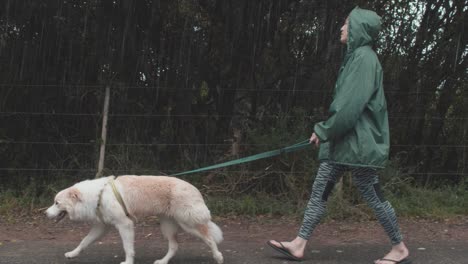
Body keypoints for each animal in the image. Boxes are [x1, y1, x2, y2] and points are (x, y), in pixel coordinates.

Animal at [44, 175, 224, 264]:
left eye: (56, 203)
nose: (45, 213)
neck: (98, 195)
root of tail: (195, 189)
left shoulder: (125, 225)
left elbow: (128, 248)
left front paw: (128, 262)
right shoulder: (101, 227)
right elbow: (84, 242)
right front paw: (72, 254)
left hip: (188, 224)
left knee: (209, 238)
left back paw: (218, 257)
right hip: (167, 226)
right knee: (174, 246)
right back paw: (162, 262)